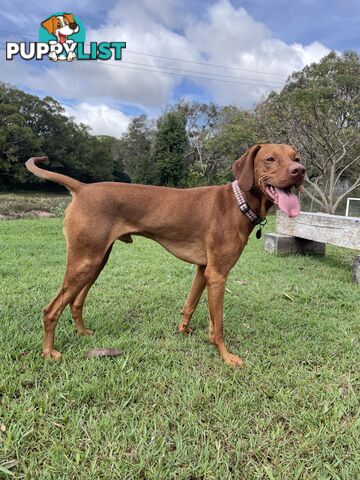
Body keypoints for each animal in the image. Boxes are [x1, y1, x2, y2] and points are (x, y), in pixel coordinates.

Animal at [26, 144, 306, 366]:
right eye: (270, 158)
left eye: (296, 157)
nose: (300, 171)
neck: (239, 203)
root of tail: (82, 188)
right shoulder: (218, 274)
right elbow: (218, 326)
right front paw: (226, 356)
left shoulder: (204, 270)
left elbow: (190, 304)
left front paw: (184, 330)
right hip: (85, 261)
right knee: (50, 310)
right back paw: (49, 352)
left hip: (96, 261)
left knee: (75, 302)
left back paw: (83, 333)